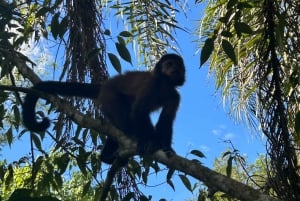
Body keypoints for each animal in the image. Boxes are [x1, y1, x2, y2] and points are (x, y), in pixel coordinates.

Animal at [22, 53, 185, 163]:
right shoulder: (150, 85)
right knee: (125, 120)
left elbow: (166, 120)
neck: (164, 83)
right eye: (169, 64)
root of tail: (105, 86)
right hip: (110, 97)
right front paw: (151, 141)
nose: (175, 68)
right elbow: (139, 111)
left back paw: (106, 156)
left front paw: (165, 147)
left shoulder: (174, 95)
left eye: (178, 65)